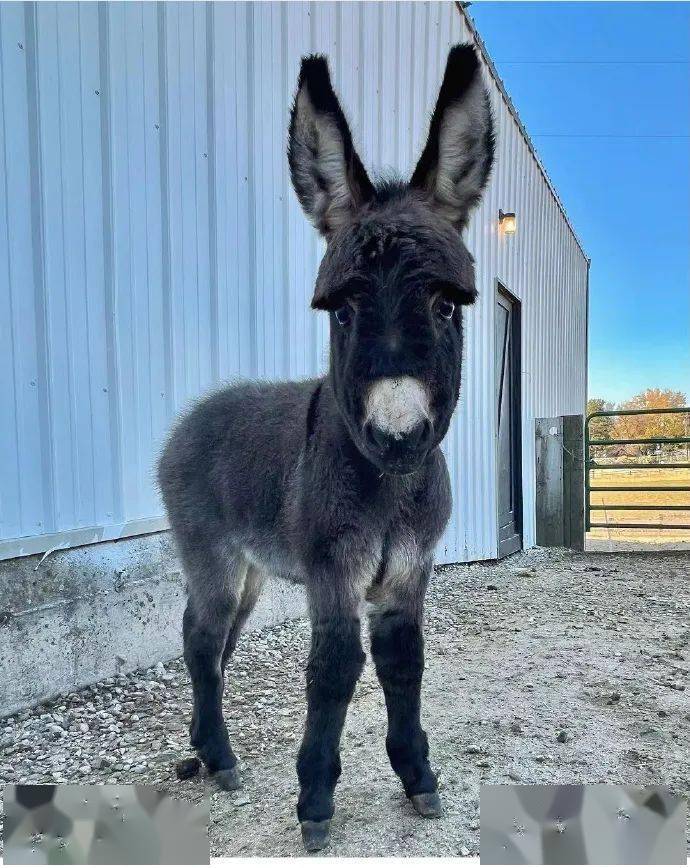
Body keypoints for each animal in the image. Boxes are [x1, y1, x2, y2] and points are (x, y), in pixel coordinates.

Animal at [159, 44, 492, 852]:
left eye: (446, 305)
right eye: (340, 312)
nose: (397, 437)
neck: (387, 491)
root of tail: (189, 419)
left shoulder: (407, 573)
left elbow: (404, 665)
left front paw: (417, 776)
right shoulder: (332, 571)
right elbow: (334, 670)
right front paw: (314, 799)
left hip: (248, 569)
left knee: (205, 638)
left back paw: (202, 750)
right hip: (213, 553)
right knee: (202, 639)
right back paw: (220, 759)